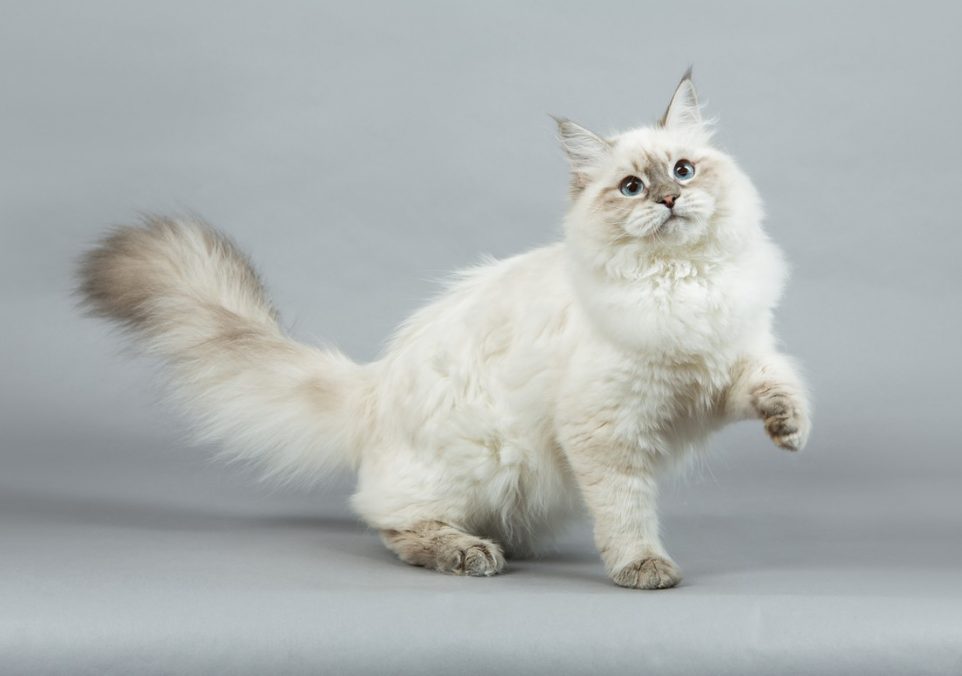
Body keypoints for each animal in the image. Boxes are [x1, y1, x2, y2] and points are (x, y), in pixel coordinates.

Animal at [79, 71, 808, 588]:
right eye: (631, 186)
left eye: (684, 169)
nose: (669, 199)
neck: (683, 281)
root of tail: (374, 386)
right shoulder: (605, 429)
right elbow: (627, 508)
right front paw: (642, 568)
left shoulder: (719, 374)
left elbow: (773, 381)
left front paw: (790, 429)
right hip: (483, 459)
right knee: (389, 522)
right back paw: (469, 552)